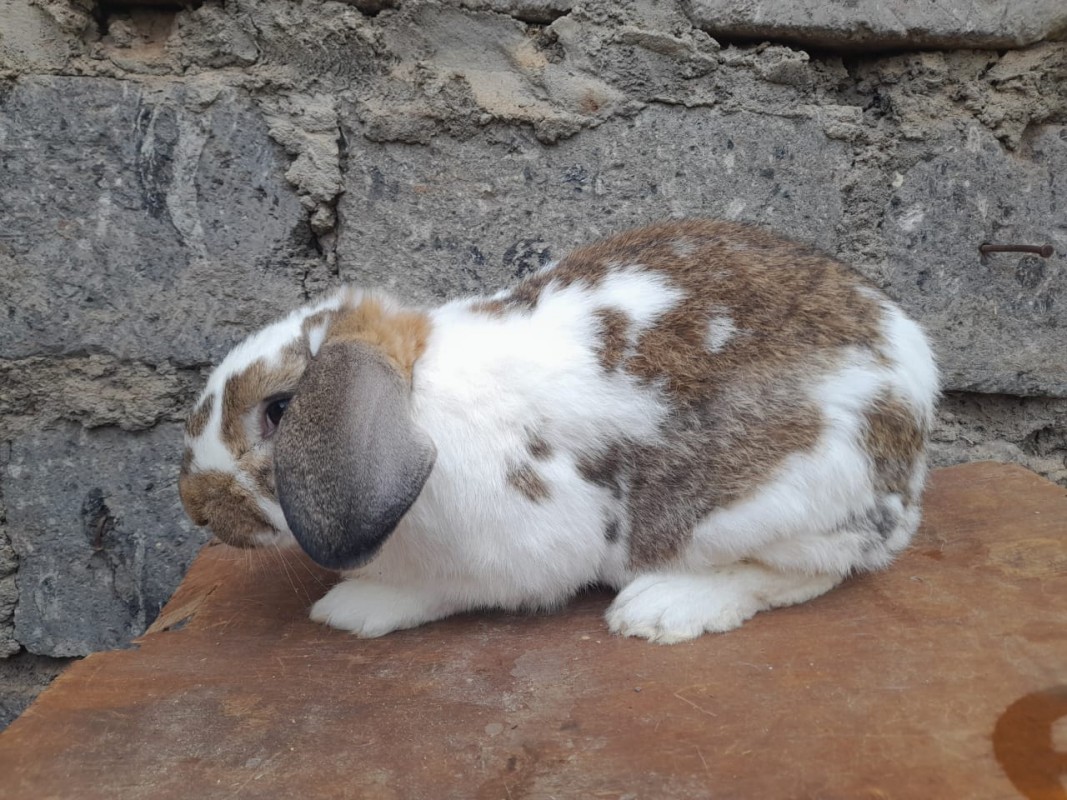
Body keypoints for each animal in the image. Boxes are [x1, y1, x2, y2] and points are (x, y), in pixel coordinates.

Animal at [178, 219, 938, 643]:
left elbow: (439, 592)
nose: (194, 506)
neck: (418, 403)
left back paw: (661, 609)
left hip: (774, 503)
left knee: (813, 570)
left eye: (279, 411)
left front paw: (352, 608)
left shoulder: (518, 551)